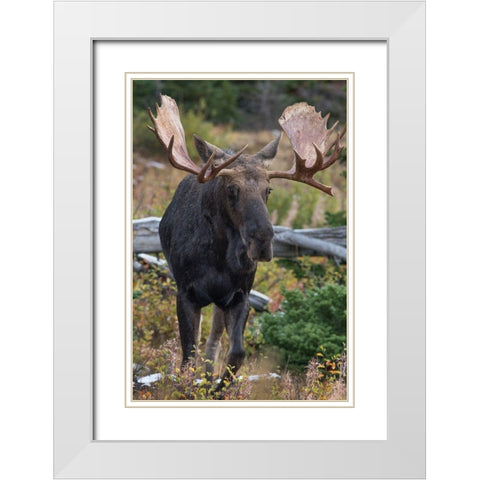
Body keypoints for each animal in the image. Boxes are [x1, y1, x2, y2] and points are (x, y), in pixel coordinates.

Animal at [146, 94, 344, 390]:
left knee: (213, 342)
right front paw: (188, 389)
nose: (262, 240)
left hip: (220, 302)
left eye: (268, 190)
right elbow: (187, 356)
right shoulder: (186, 292)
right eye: (232, 189)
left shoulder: (240, 295)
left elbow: (237, 352)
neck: (217, 258)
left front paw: (218, 389)